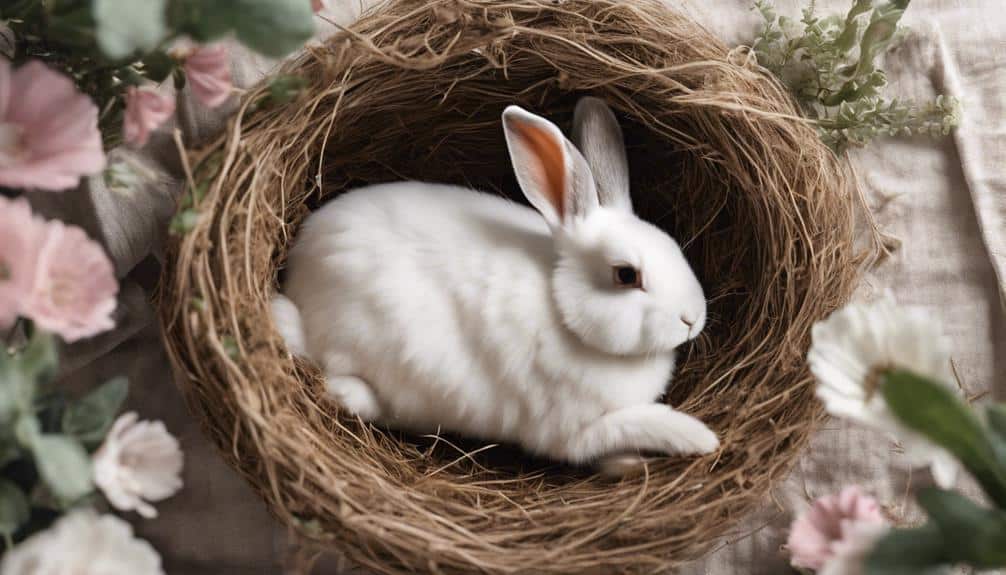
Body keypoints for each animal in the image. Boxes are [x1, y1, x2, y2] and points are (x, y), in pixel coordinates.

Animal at [272, 97, 718, 471]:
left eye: (672, 244)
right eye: (626, 275)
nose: (692, 319)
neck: (563, 312)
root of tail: (298, 278)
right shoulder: (570, 433)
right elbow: (630, 425)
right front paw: (695, 440)